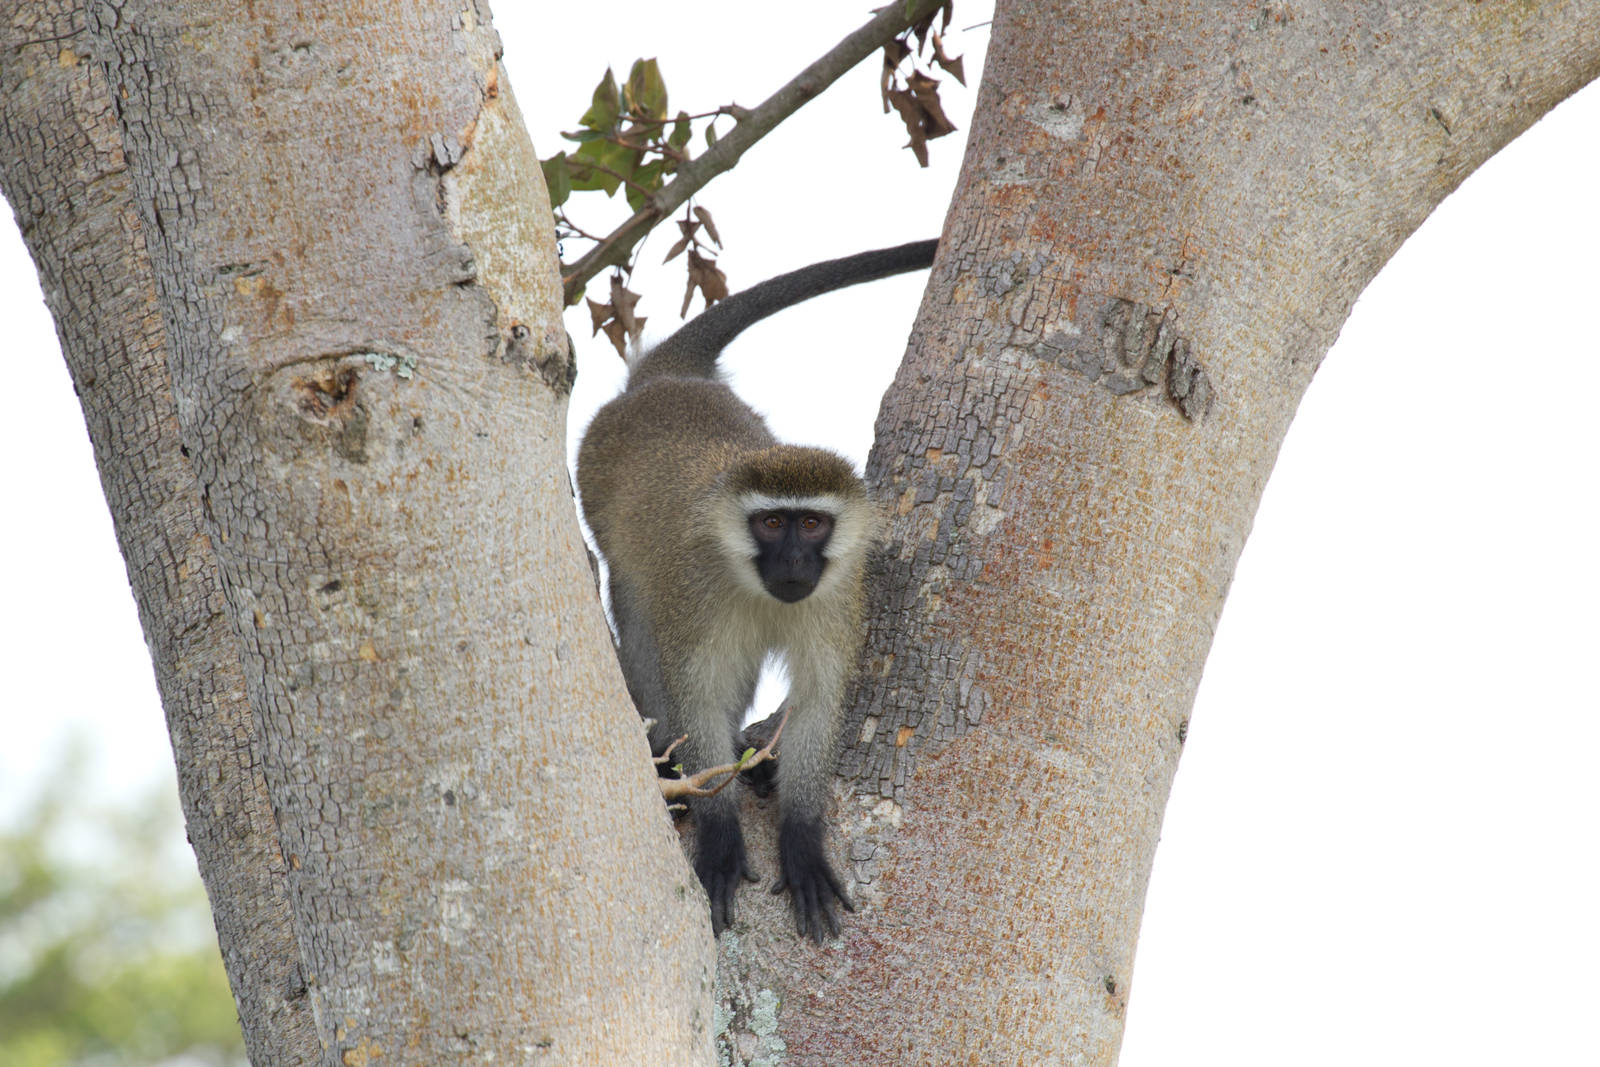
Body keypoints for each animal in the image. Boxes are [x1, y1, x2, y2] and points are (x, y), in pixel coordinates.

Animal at [575, 239, 937, 941]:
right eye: (772, 524)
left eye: (812, 524)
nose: (794, 559)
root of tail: (663, 384)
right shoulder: (693, 588)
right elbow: (698, 693)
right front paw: (719, 832)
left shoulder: (840, 596)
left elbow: (820, 701)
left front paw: (800, 837)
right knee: (637, 615)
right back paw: (668, 763)